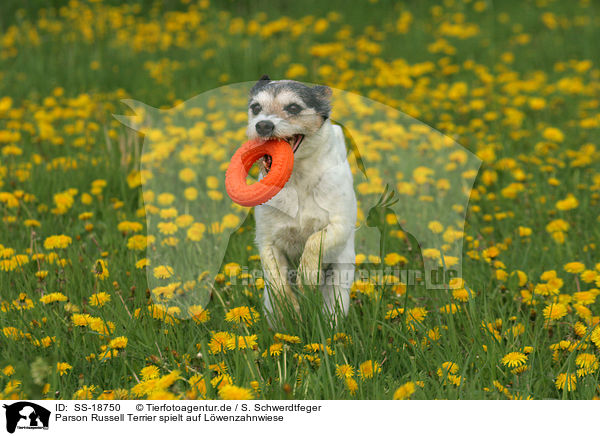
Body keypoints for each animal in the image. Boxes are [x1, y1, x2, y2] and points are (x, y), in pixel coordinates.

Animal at [247, 76, 358, 326]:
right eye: (256, 108)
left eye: (293, 108)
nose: (263, 125)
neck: (297, 179)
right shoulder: (267, 240)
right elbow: (278, 282)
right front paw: (291, 306)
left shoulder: (339, 226)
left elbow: (315, 241)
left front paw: (307, 277)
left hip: (338, 286)